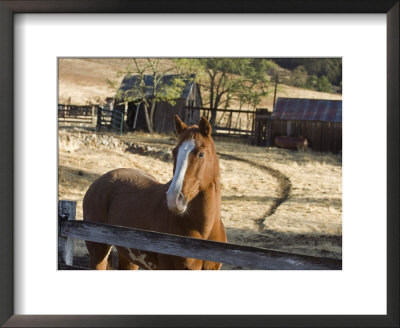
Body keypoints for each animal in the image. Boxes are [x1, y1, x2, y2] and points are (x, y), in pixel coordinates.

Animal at [83, 115, 227, 270]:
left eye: (201, 154)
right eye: (174, 152)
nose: (173, 199)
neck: (203, 231)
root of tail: (98, 182)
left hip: (128, 258)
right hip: (98, 254)